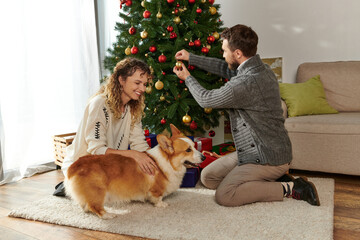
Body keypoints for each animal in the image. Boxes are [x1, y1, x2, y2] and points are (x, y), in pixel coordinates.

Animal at [64, 124, 204, 218]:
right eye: (188, 150)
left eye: (194, 146)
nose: (204, 157)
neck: (168, 162)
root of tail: (72, 167)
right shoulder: (156, 190)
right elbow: (157, 198)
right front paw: (161, 205)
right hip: (98, 191)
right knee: (94, 206)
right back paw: (108, 215)